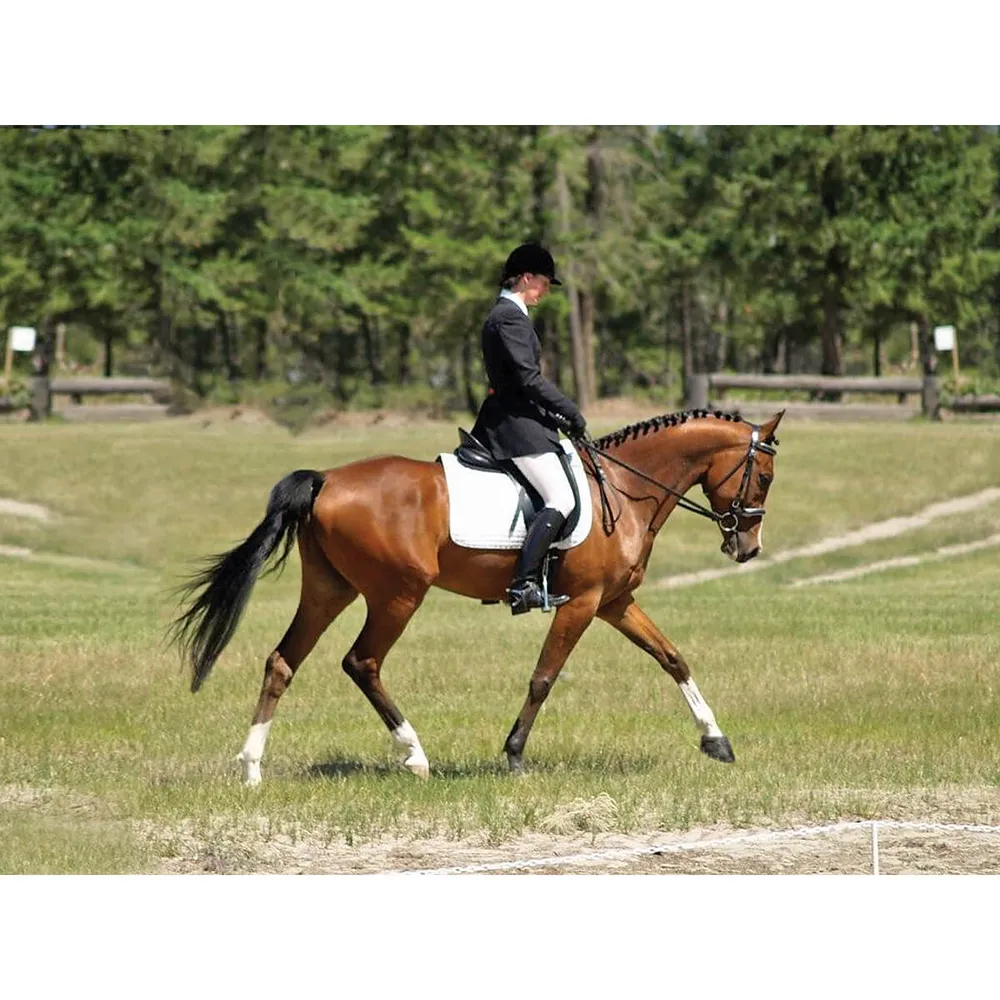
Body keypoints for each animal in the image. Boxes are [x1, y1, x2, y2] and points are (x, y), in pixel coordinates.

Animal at [169, 407, 783, 784]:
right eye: (765, 477)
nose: (747, 547)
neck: (626, 488)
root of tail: (328, 479)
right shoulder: (584, 604)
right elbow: (543, 678)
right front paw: (513, 755)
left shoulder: (614, 603)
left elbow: (672, 657)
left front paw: (716, 741)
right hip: (398, 594)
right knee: (362, 662)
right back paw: (416, 757)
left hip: (329, 590)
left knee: (282, 661)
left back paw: (252, 767)